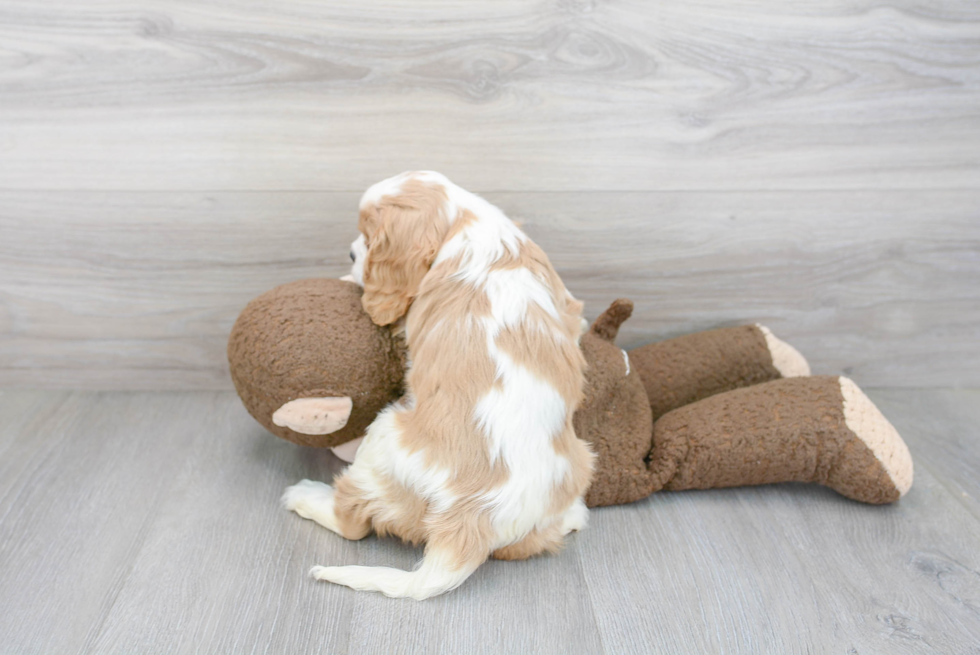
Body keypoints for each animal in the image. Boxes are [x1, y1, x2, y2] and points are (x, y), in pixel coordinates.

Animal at [280, 173, 592, 600]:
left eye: (368, 236)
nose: (350, 254)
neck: (464, 220)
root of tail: (471, 522)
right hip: (582, 460)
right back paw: (573, 517)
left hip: (384, 433)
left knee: (353, 522)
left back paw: (306, 495)